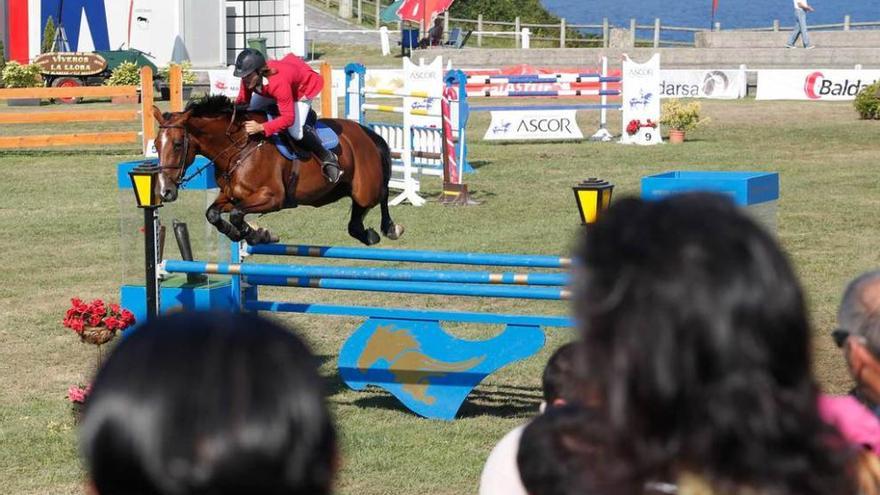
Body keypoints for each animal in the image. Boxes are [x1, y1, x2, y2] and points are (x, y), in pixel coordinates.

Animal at [152, 95, 406, 246]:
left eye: (177, 144)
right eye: (155, 144)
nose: (165, 191)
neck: (238, 148)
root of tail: (367, 133)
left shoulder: (272, 197)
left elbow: (237, 214)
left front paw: (257, 234)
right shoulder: (232, 196)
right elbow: (213, 214)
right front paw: (244, 233)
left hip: (365, 189)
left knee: (382, 193)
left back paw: (391, 228)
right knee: (355, 223)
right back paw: (368, 234)